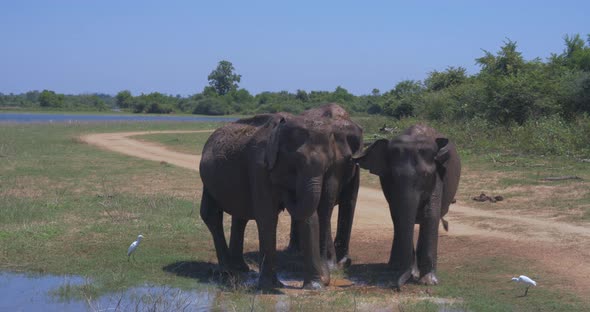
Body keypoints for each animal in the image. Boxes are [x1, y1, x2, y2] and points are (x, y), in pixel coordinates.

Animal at [286, 103, 366, 270]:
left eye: (349, 160)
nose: (344, 262)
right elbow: (324, 205)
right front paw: (330, 264)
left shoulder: (354, 168)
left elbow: (349, 202)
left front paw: (343, 262)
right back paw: (295, 252)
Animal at [354, 123, 460, 288]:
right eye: (393, 176)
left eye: (425, 175)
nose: (398, 286)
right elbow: (398, 213)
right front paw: (408, 273)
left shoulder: (438, 175)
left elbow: (431, 214)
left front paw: (429, 282)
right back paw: (395, 267)